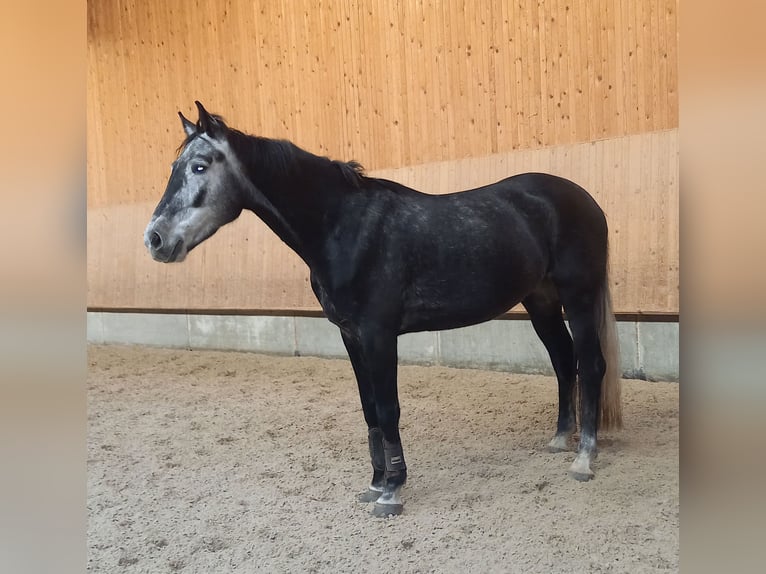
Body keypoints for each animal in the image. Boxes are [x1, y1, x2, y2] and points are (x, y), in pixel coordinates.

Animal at [146, 101, 624, 520]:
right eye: (172, 167)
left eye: (199, 166)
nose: (154, 239)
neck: (343, 227)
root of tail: (585, 199)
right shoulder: (351, 335)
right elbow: (370, 410)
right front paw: (375, 483)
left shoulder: (379, 334)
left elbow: (389, 407)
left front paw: (392, 491)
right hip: (540, 300)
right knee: (563, 360)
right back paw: (560, 439)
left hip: (579, 297)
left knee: (590, 364)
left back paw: (584, 458)